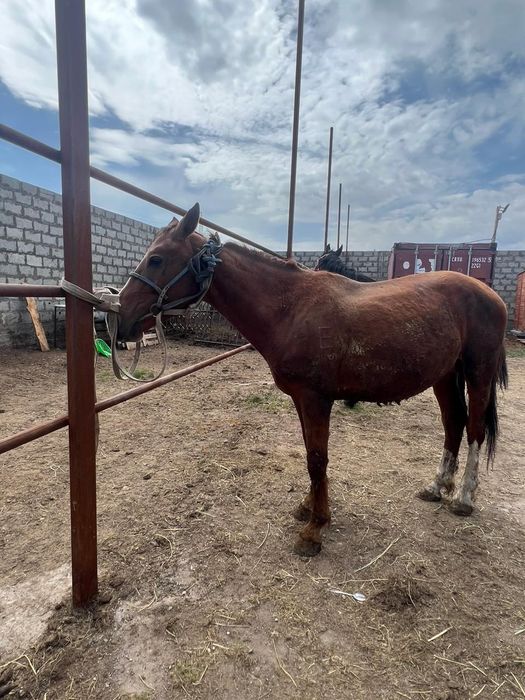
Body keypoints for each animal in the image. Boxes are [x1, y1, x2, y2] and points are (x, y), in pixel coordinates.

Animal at [117, 203, 508, 557]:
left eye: (156, 259)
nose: (120, 316)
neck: (290, 308)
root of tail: (491, 295)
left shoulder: (315, 399)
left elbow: (317, 459)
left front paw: (315, 529)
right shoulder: (301, 400)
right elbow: (310, 453)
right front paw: (309, 507)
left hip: (478, 372)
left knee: (474, 428)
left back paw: (464, 497)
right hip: (445, 376)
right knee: (453, 423)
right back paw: (438, 486)